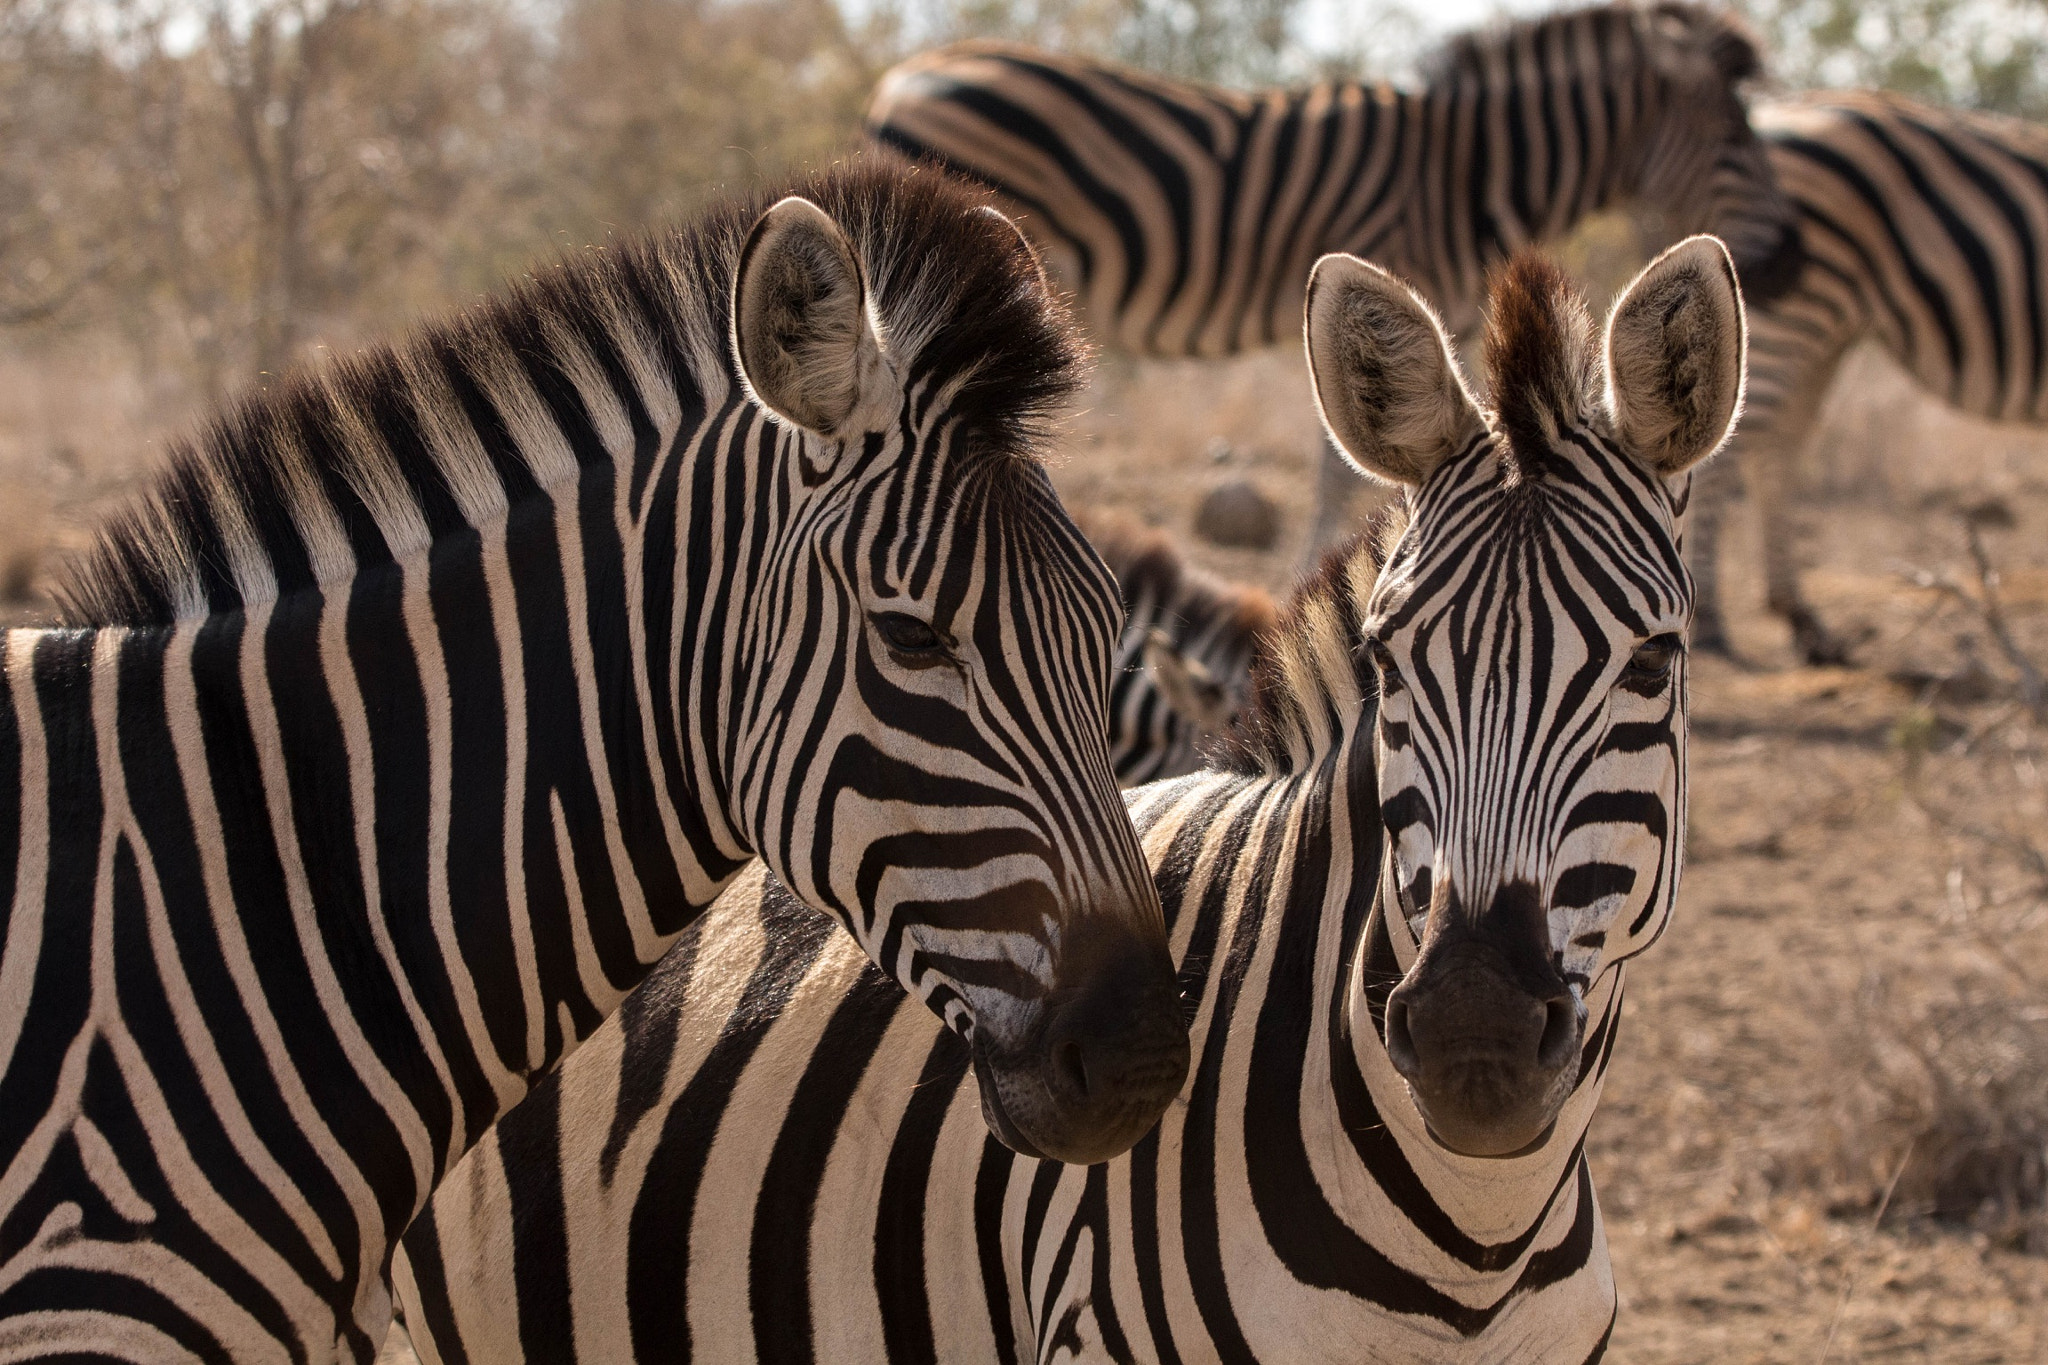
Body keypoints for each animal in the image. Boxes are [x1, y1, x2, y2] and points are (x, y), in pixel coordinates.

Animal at [1687, 90, 2048, 663]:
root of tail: (1773, 112)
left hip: (1824, 325)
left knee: (1780, 443)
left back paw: (1802, 619)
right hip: (1793, 303)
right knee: (1734, 445)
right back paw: (1714, 624)